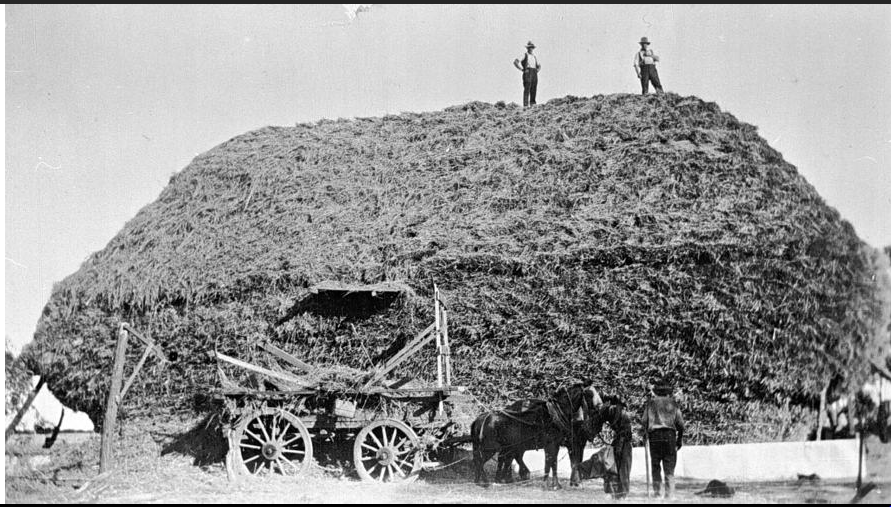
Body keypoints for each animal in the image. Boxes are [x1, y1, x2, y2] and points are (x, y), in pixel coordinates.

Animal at [470, 380, 604, 488]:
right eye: (590, 394)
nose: (600, 407)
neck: (554, 416)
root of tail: (480, 419)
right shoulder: (553, 444)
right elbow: (551, 464)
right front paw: (551, 484)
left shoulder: (557, 445)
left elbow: (552, 464)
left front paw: (553, 484)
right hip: (490, 448)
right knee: (480, 461)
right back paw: (486, 482)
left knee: (488, 460)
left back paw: (482, 481)